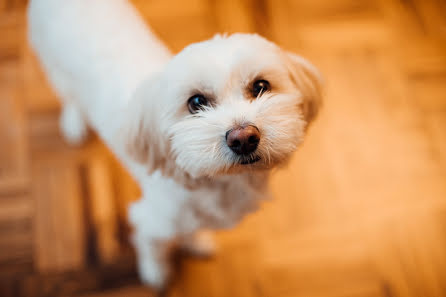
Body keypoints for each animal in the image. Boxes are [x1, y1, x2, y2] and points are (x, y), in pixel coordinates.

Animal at [28, 0, 320, 290]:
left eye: (260, 86)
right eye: (196, 102)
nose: (243, 138)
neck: (221, 183)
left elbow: (191, 229)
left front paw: (196, 241)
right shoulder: (152, 220)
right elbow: (153, 247)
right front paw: (156, 273)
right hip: (53, 66)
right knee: (68, 95)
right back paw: (74, 122)